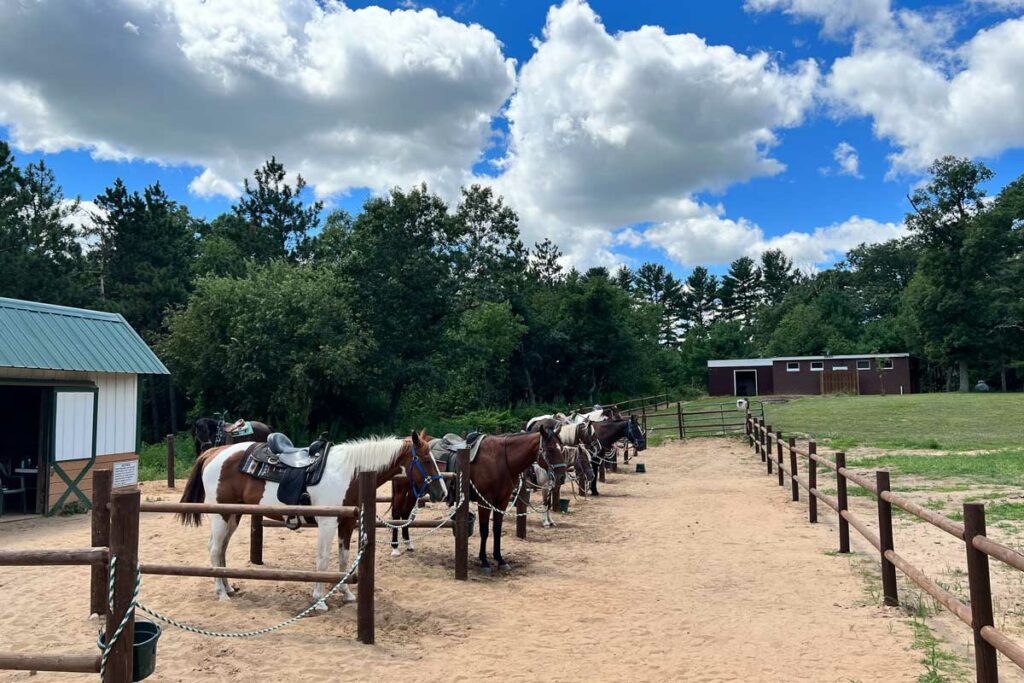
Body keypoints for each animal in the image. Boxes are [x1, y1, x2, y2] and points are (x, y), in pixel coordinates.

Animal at [178, 430, 442, 610]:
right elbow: (322, 560)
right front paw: (320, 600)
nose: (441, 492)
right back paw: (221, 593)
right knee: (214, 549)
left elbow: (344, 559)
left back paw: (229, 587)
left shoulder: (347, 524)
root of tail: (214, 452)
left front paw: (346, 594)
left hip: (234, 514)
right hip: (221, 514)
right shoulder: (327, 524)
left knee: (222, 549)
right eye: (427, 460)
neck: (350, 472)